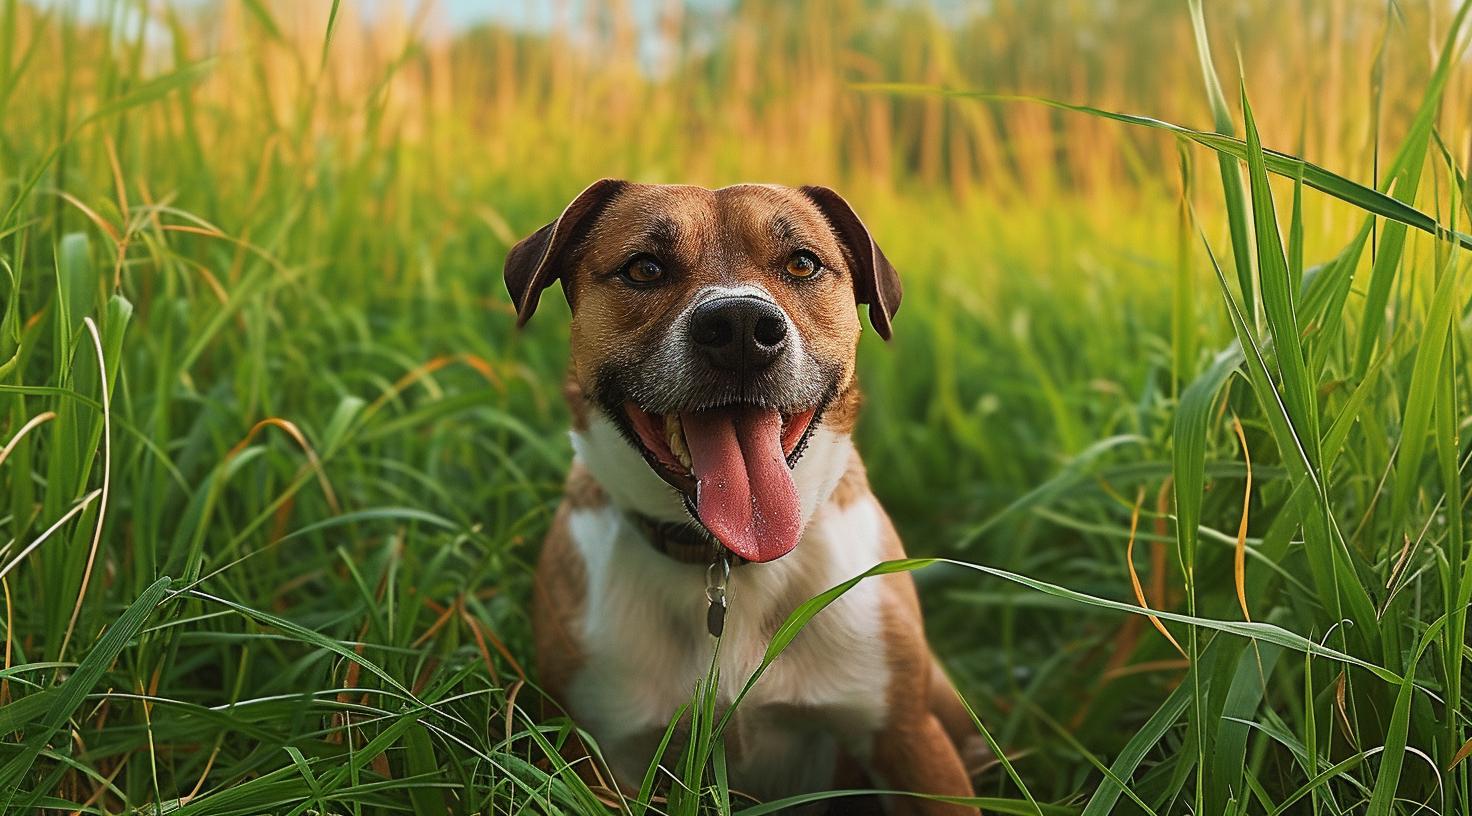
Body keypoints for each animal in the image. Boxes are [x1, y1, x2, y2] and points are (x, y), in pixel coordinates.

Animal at [506, 181, 977, 807]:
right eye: (644, 268)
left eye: (802, 263)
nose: (740, 327)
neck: (727, 562)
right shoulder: (598, 751)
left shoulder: (907, 737)